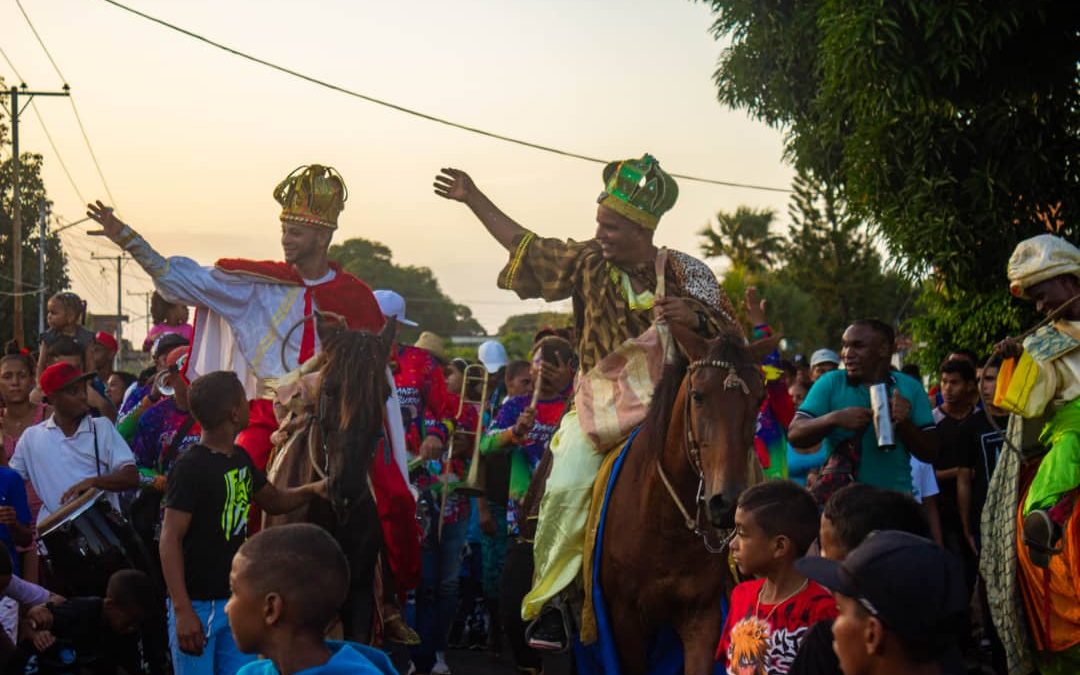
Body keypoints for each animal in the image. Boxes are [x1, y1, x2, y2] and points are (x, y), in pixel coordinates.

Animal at [600, 324, 768, 669]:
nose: (727, 504)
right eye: (698, 396)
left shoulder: (701, 616)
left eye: (759, 400)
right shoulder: (625, 619)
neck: (665, 524)